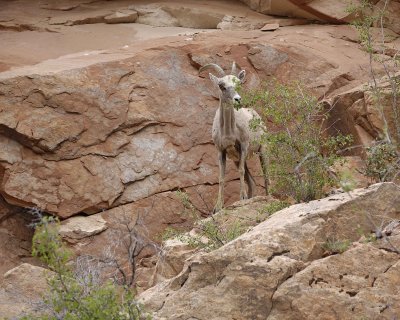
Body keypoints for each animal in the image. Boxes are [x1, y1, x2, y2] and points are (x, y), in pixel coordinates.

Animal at [199, 62, 268, 212]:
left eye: (238, 84)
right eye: (221, 86)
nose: (238, 99)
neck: (229, 133)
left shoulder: (243, 146)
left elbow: (241, 172)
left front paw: (242, 198)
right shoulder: (221, 151)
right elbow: (221, 177)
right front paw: (217, 207)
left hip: (263, 151)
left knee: (266, 176)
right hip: (238, 159)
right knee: (252, 181)